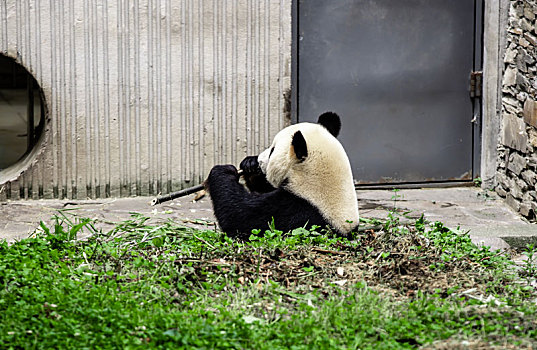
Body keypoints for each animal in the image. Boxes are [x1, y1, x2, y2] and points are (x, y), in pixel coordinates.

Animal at [207, 111, 358, 238]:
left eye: (272, 150)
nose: (260, 160)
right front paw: (249, 164)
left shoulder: (298, 208)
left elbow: (242, 218)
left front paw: (223, 171)